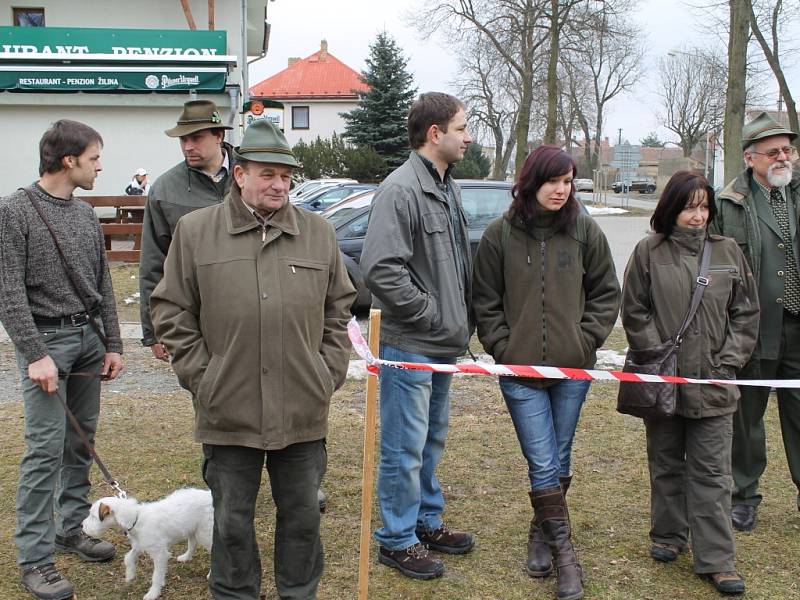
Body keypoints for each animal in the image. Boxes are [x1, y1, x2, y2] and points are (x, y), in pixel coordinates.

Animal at [82, 488, 212, 600]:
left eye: (93, 516)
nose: (82, 527)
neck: (135, 518)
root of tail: (209, 495)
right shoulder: (138, 545)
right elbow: (128, 558)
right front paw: (130, 575)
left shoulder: (159, 554)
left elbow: (156, 575)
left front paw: (153, 593)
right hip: (192, 529)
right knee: (192, 542)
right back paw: (186, 557)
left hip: (204, 534)